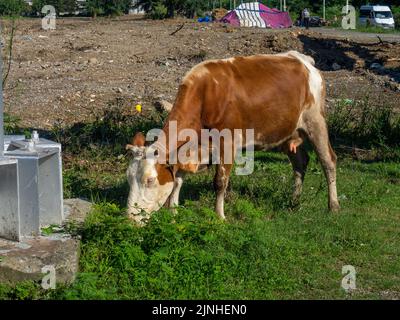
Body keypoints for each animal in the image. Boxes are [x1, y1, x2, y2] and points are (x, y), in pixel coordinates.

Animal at [126, 50, 340, 225]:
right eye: (128, 178)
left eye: (150, 180)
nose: (129, 219)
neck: (204, 96)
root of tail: (302, 59)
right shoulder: (189, 150)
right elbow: (177, 180)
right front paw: (173, 212)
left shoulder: (227, 143)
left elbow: (220, 181)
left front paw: (219, 216)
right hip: (288, 131)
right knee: (300, 162)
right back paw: (294, 201)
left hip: (315, 120)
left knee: (328, 161)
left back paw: (333, 206)